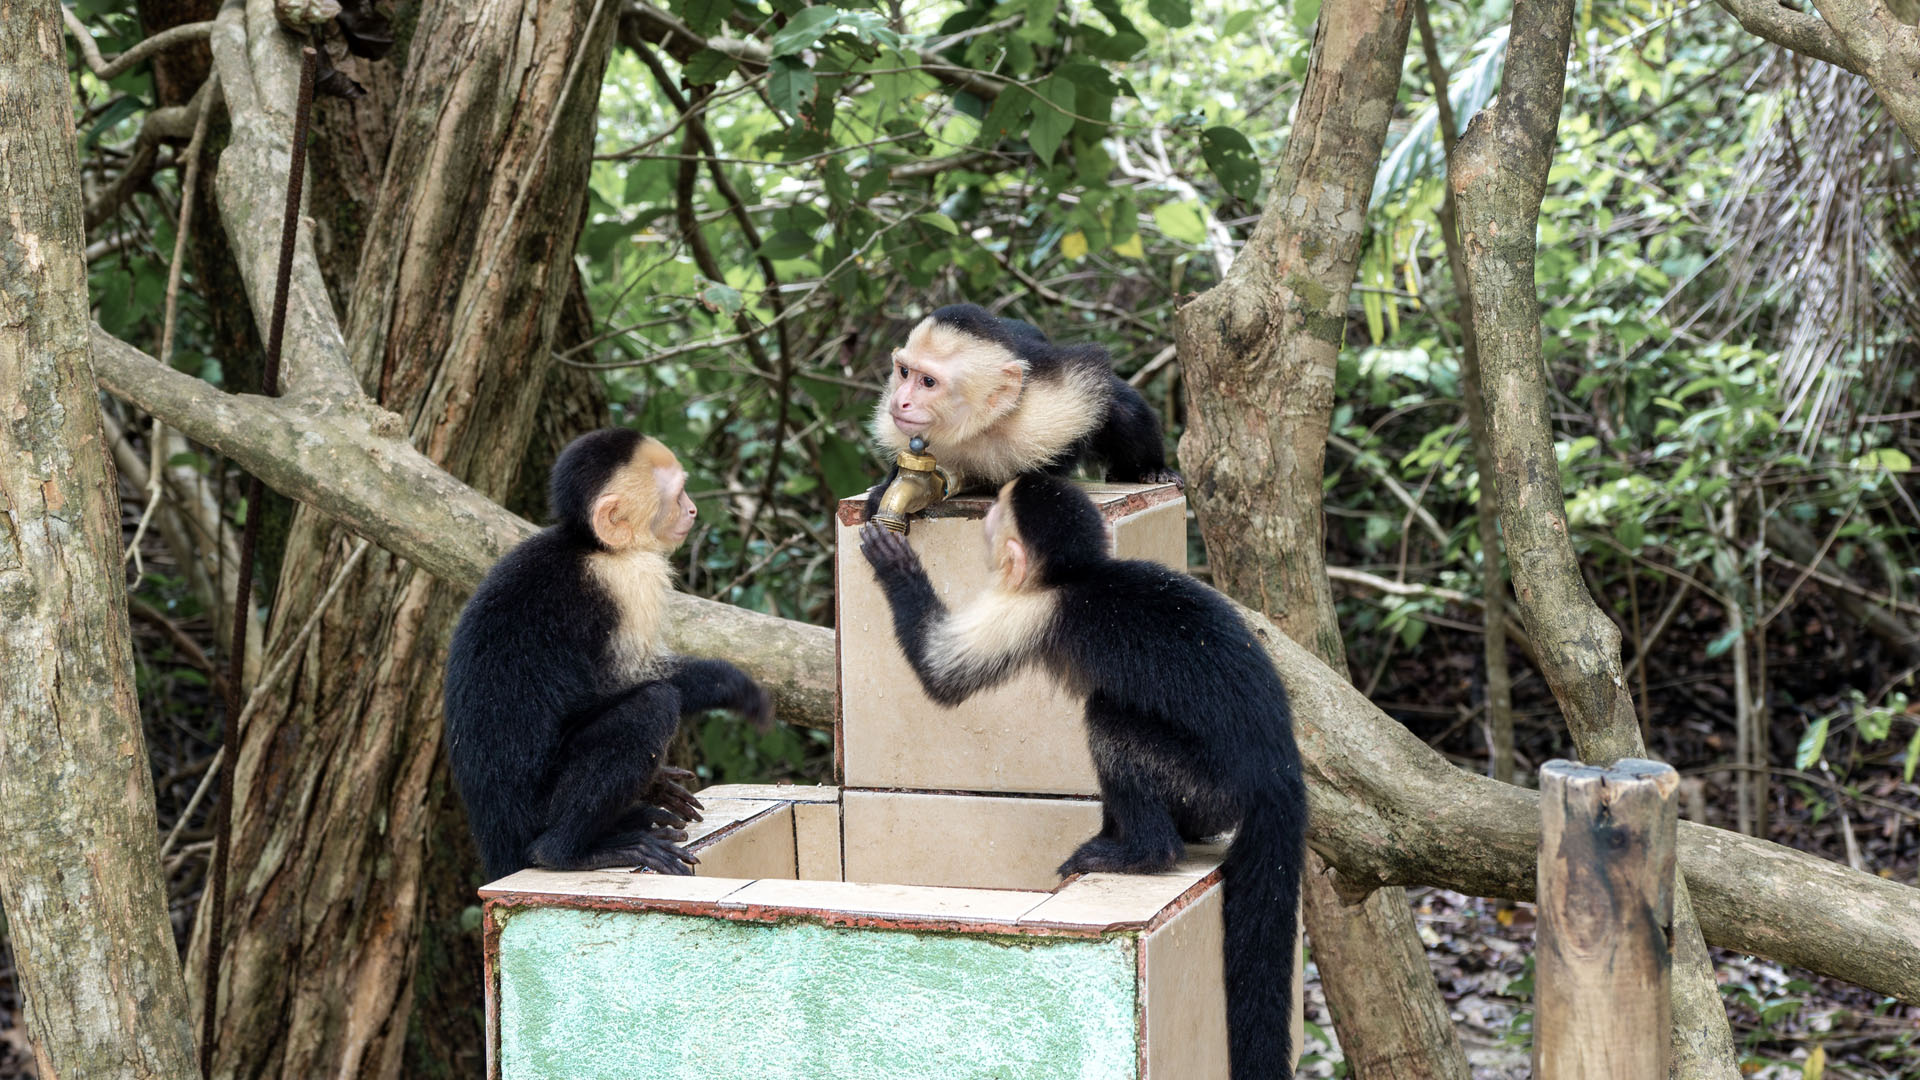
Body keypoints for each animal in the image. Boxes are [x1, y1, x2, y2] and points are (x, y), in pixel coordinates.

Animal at [444, 428, 772, 881]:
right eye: (678, 495)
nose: (692, 509)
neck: (593, 547)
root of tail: (496, 839)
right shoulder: (630, 581)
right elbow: (620, 682)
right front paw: (730, 684)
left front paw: (657, 783)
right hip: (539, 811)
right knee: (652, 705)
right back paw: (568, 852)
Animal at [858, 474, 1304, 1079]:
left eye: (996, 516)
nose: (985, 518)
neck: (1077, 575)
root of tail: (1280, 769)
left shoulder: (1030, 610)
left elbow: (940, 674)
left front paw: (895, 563)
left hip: (1211, 782)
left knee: (1108, 717)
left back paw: (1144, 851)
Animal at [864, 303, 1180, 521]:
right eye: (904, 372)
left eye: (928, 382)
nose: (900, 401)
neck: (978, 428)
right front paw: (886, 490)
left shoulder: (1050, 406)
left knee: (1120, 404)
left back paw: (1149, 469)